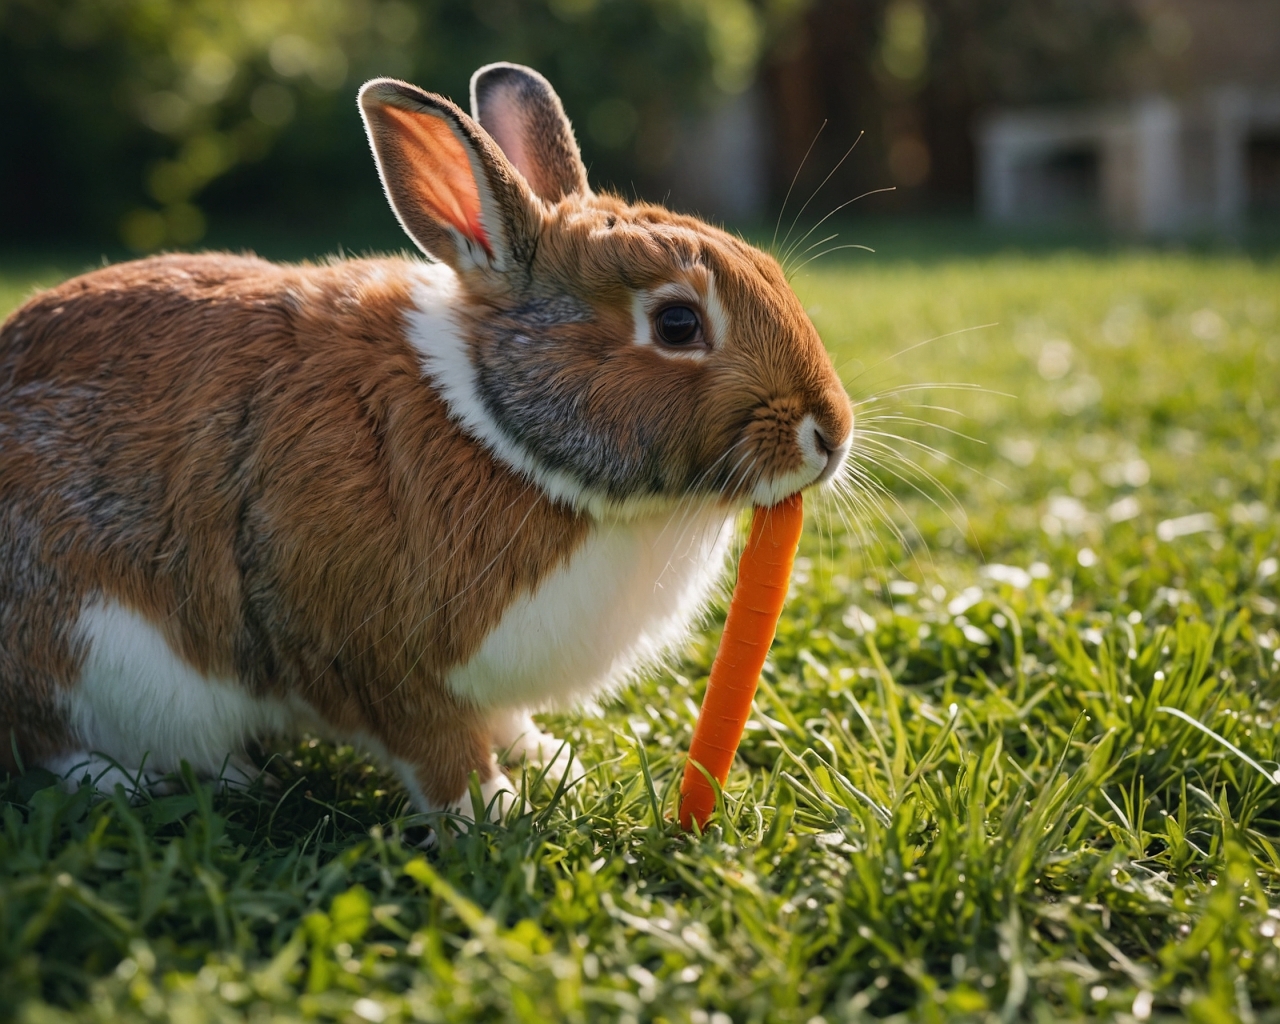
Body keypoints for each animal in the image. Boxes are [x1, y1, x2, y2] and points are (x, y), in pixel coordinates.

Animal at [2, 62, 860, 814]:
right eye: (677, 324)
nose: (832, 434)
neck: (502, 435)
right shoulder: (380, 661)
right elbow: (437, 750)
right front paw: (493, 813)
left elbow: (501, 718)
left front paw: (555, 762)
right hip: (69, 642)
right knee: (46, 742)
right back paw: (139, 781)